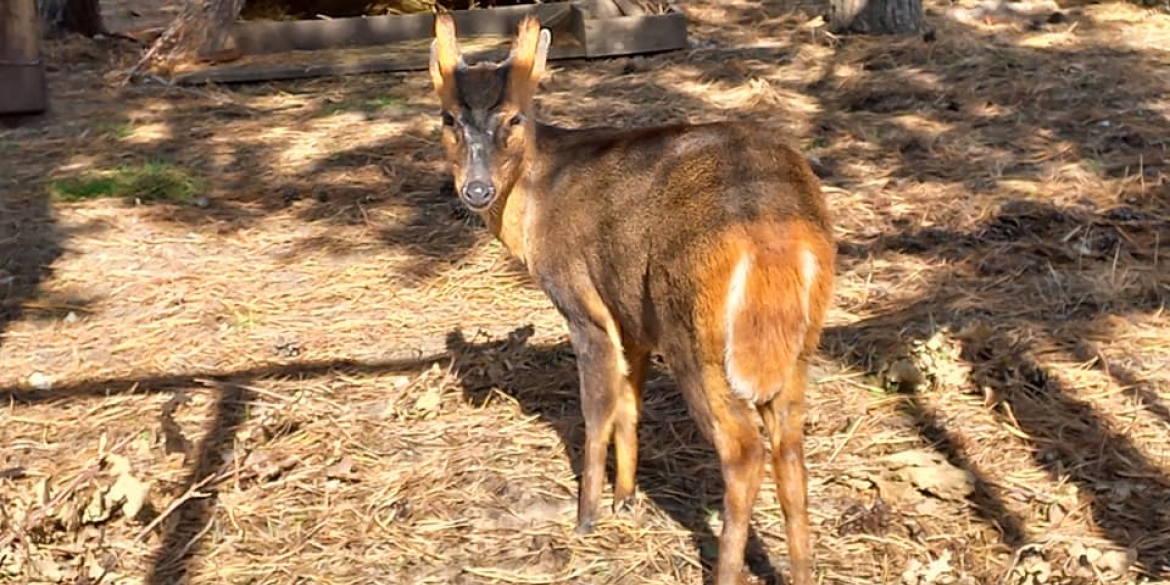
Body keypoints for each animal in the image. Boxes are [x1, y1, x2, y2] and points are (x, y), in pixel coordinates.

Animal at [430, 12, 833, 585]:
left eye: (514, 118)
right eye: (448, 119)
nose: (477, 190)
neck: (536, 202)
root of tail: (778, 233)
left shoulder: (585, 307)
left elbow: (597, 410)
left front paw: (587, 515)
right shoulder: (633, 318)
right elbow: (630, 405)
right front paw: (624, 498)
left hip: (695, 335)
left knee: (744, 451)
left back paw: (724, 570)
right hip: (797, 349)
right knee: (791, 449)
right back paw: (801, 571)